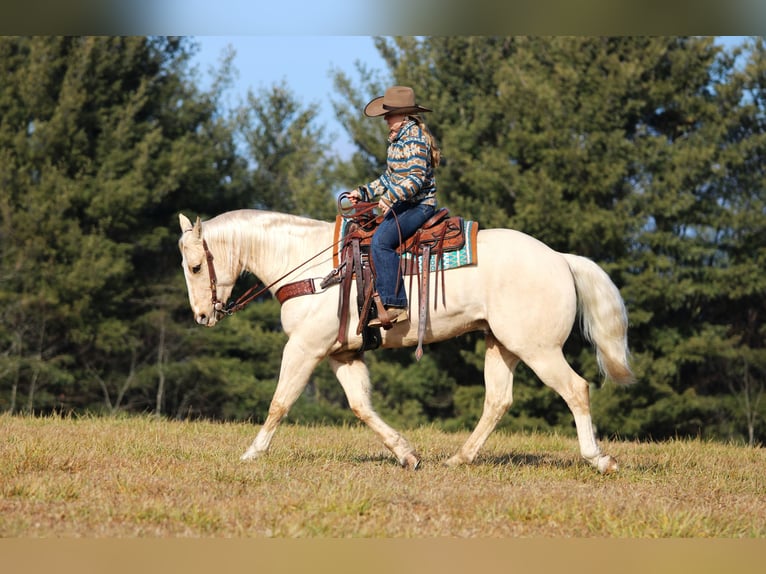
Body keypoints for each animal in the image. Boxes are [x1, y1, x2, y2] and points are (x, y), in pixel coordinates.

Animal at [178, 208, 634, 473]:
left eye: (196, 266)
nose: (202, 316)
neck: (310, 267)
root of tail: (560, 259)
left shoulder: (305, 348)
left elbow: (280, 402)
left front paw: (252, 453)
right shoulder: (342, 355)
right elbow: (361, 407)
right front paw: (406, 453)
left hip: (538, 350)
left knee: (576, 389)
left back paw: (599, 459)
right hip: (502, 345)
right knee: (498, 401)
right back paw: (460, 458)